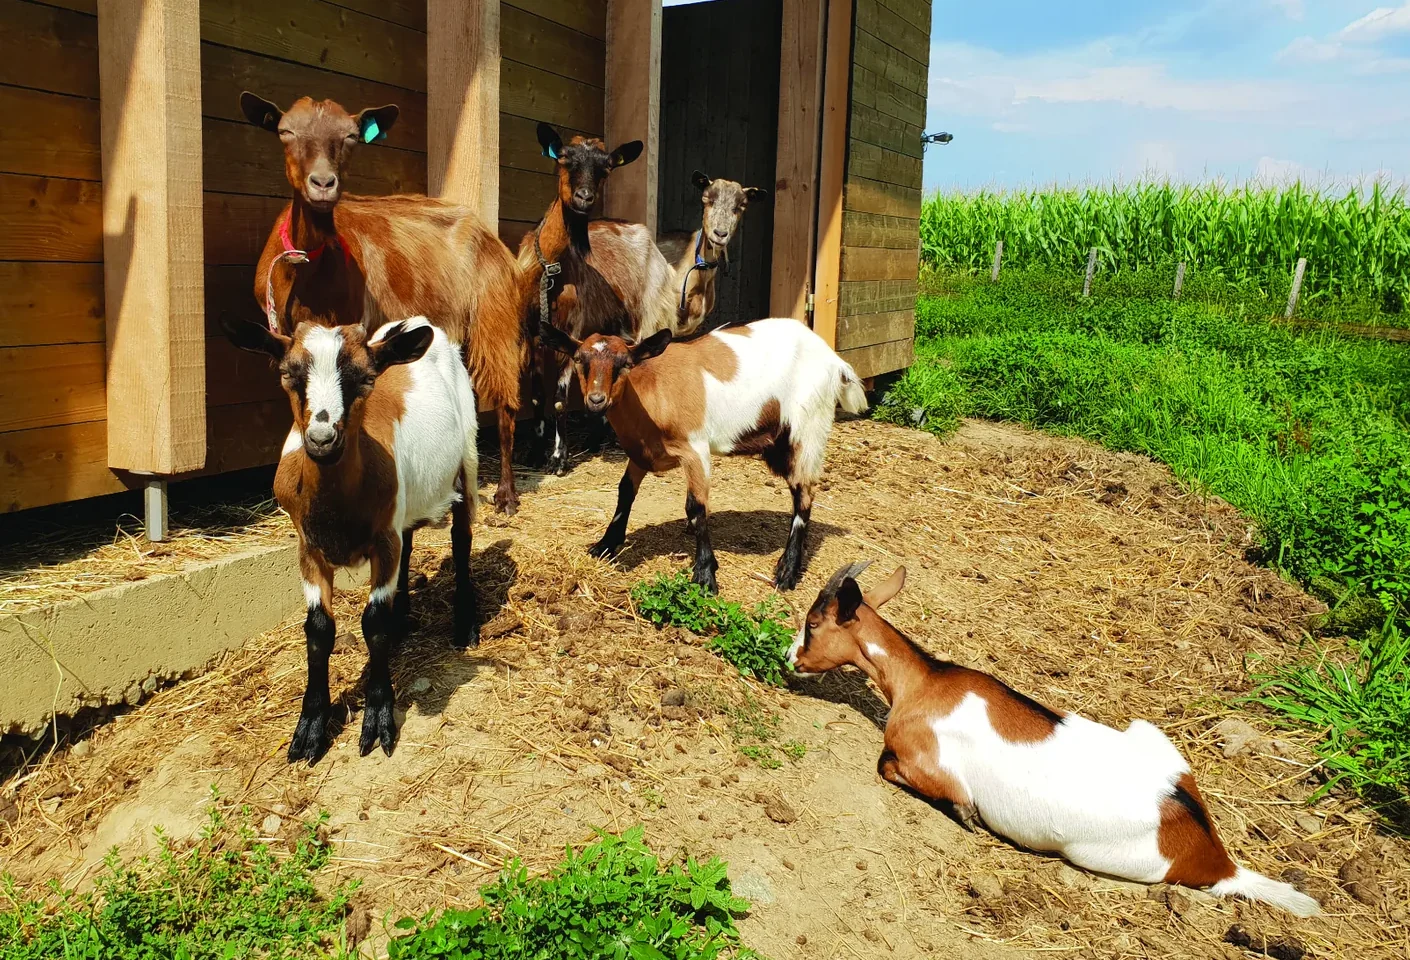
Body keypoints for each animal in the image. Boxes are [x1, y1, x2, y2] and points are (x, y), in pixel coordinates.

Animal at [222, 313, 480, 765]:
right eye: (289, 374)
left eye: (365, 378)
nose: (322, 439)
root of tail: (418, 321)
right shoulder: (309, 548)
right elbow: (319, 629)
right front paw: (309, 729)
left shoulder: (382, 540)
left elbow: (372, 623)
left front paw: (378, 721)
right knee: (410, 542)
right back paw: (403, 616)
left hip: (468, 455)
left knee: (462, 537)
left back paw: (464, 625)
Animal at [240, 92, 528, 515]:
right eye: (285, 131)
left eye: (350, 136)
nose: (323, 184)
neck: (307, 268)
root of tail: (486, 232)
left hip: (494, 316)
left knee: (506, 400)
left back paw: (506, 495)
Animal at [517, 123, 643, 475]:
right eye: (564, 159)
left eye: (606, 168)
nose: (584, 198)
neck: (548, 271)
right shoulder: (531, 334)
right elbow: (537, 397)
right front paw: (534, 452)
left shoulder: (568, 331)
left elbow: (560, 399)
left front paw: (558, 458)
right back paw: (595, 438)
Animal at [539, 318, 868, 593]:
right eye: (579, 360)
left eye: (625, 364)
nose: (596, 400)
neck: (653, 390)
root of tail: (836, 360)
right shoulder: (641, 453)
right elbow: (625, 493)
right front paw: (606, 544)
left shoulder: (695, 449)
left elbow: (696, 507)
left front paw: (705, 574)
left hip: (807, 429)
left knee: (804, 495)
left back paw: (787, 572)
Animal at [786, 562, 1322, 917]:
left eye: (811, 624)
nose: (790, 658)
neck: (923, 682)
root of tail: (1217, 858)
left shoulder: (925, 760)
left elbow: (897, 771)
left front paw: (965, 816)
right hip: (1150, 736)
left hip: (1094, 856)